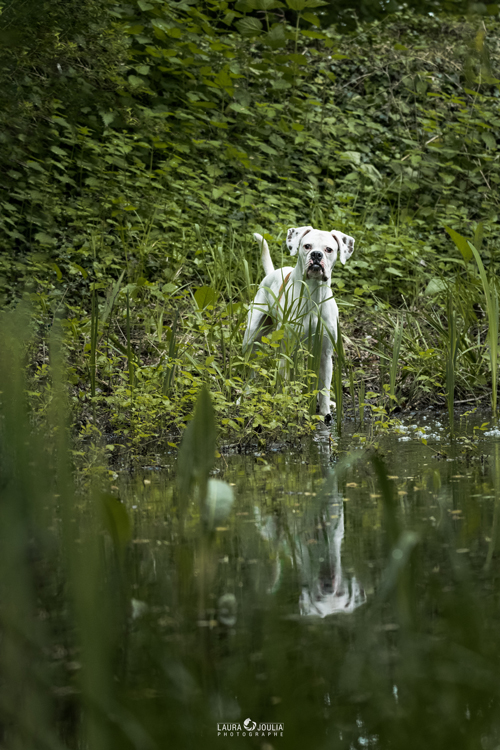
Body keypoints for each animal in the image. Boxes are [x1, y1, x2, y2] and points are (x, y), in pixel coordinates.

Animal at [243, 225, 356, 424]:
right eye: (307, 246)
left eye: (329, 249)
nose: (316, 255)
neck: (313, 295)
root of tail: (271, 273)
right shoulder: (286, 351)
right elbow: (284, 385)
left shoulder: (325, 354)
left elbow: (324, 389)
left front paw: (325, 413)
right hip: (251, 336)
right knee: (248, 367)